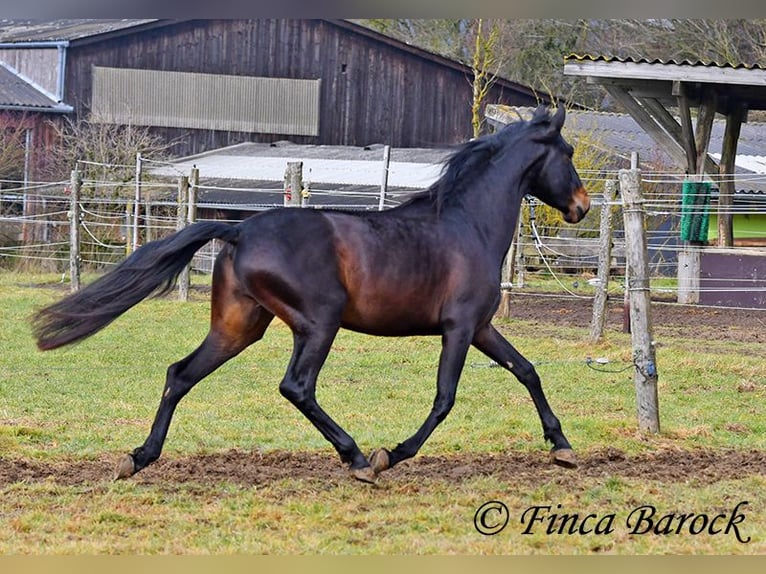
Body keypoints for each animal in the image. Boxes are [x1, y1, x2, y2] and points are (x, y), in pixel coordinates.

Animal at [33, 106, 592, 484]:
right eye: (567, 155)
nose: (582, 207)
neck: (467, 225)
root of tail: (239, 230)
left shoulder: (481, 327)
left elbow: (527, 371)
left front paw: (562, 447)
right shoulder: (458, 328)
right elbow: (445, 398)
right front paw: (390, 455)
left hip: (239, 326)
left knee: (180, 374)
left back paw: (138, 457)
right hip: (319, 322)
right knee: (296, 386)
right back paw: (357, 458)